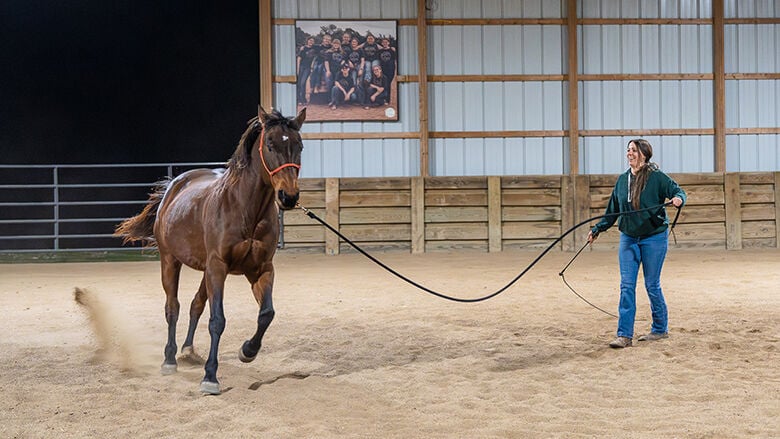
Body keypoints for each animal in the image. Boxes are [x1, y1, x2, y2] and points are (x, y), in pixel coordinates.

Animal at [114, 107, 306, 394]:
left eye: (300, 146)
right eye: (271, 144)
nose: (289, 196)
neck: (245, 209)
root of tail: (174, 185)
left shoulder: (261, 269)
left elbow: (266, 314)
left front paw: (247, 351)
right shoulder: (218, 267)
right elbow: (217, 320)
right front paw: (210, 377)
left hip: (206, 270)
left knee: (195, 304)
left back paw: (188, 350)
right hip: (171, 261)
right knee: (173, 307)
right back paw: (170, 359)